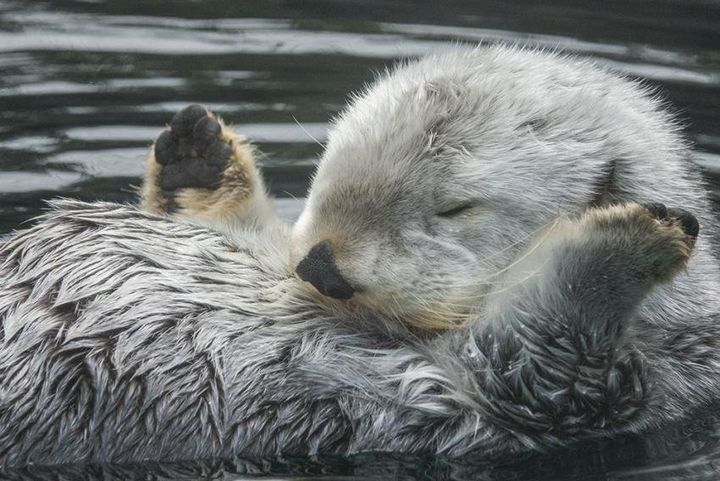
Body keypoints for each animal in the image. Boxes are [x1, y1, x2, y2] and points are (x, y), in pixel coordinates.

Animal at [1, 46, 720, 464]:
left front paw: (638, 234)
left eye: (455, 209)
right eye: (329, 163)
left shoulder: (558, 398)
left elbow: (550, 341)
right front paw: (199, 160)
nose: (322, 267)